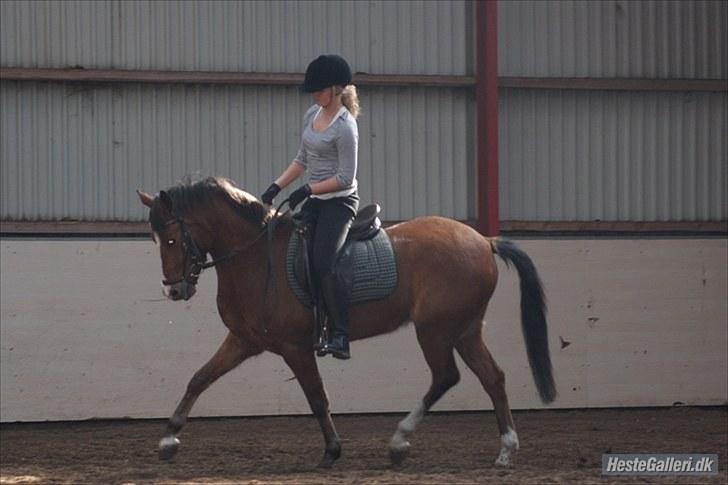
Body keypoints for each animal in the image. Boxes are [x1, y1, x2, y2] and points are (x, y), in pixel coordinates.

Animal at [138, 176, 556, 466]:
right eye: (155, 240)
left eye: (172, 239)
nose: (173, 290)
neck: (254, 257)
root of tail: (484, 240)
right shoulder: (244, 340)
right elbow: (199, 378)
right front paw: (168, 439)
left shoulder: (294, 346)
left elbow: (317, 396)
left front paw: (332, 450)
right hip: (464, 329)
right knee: (492, 378)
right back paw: (505, 451)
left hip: (435, 330)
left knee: (446, 377)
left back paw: (399, 442)